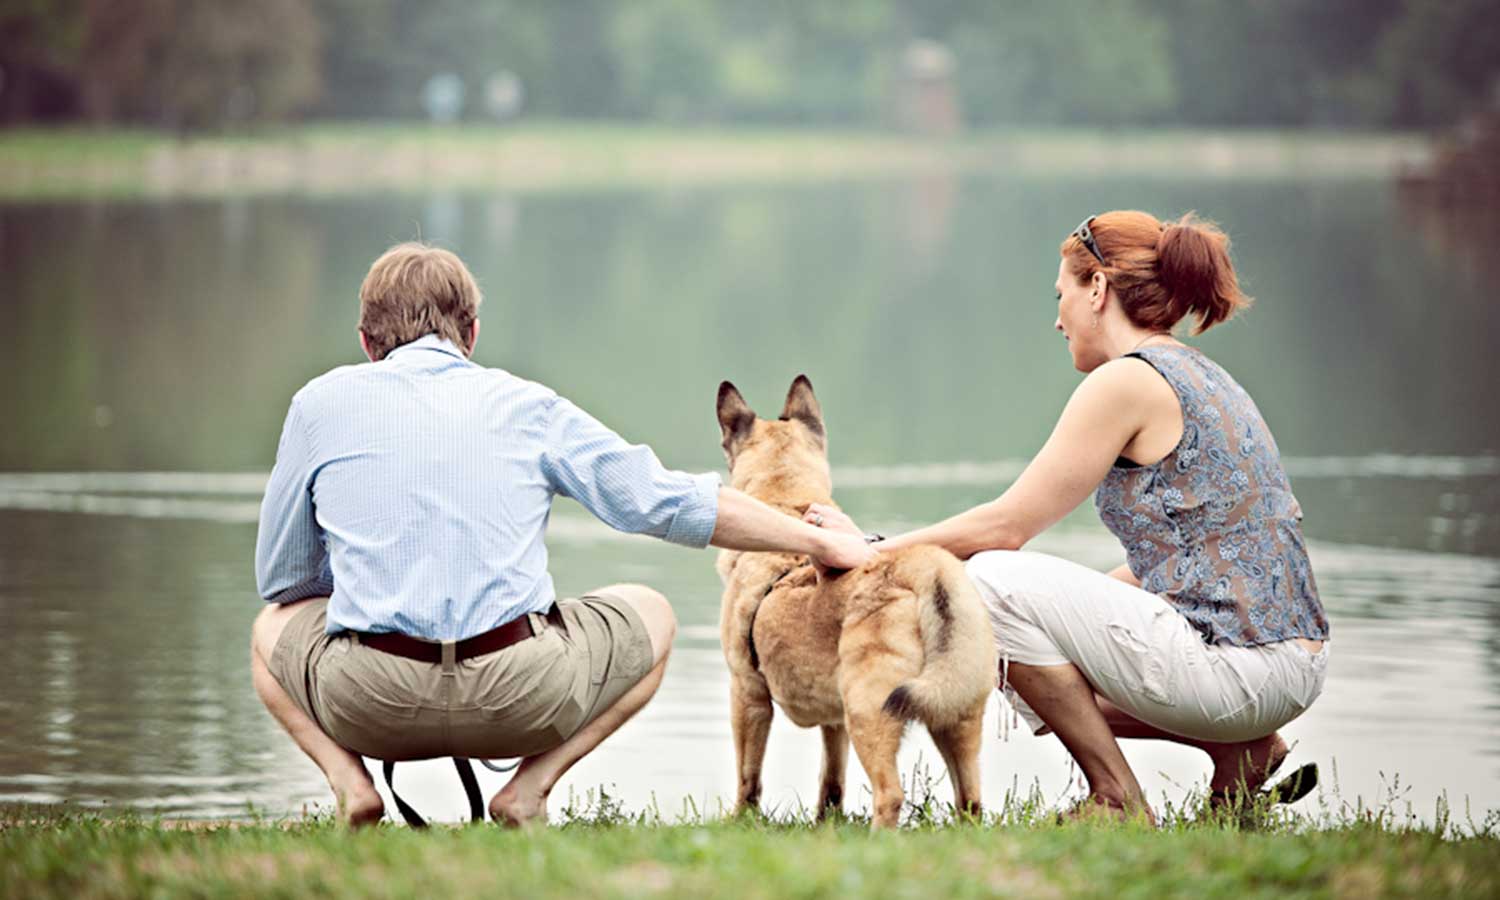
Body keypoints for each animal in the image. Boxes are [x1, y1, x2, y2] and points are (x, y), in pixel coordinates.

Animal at [714, 375, 996, 828]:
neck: (789, 505)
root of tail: (923, 568)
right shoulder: (835, 722)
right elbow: (831, 782)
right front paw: (825, 825)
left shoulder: (747, 694)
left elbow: (748, 777)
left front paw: (740, 821)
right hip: (956, 716)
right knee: (970, 800)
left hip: (870, 711)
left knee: (890, 795)